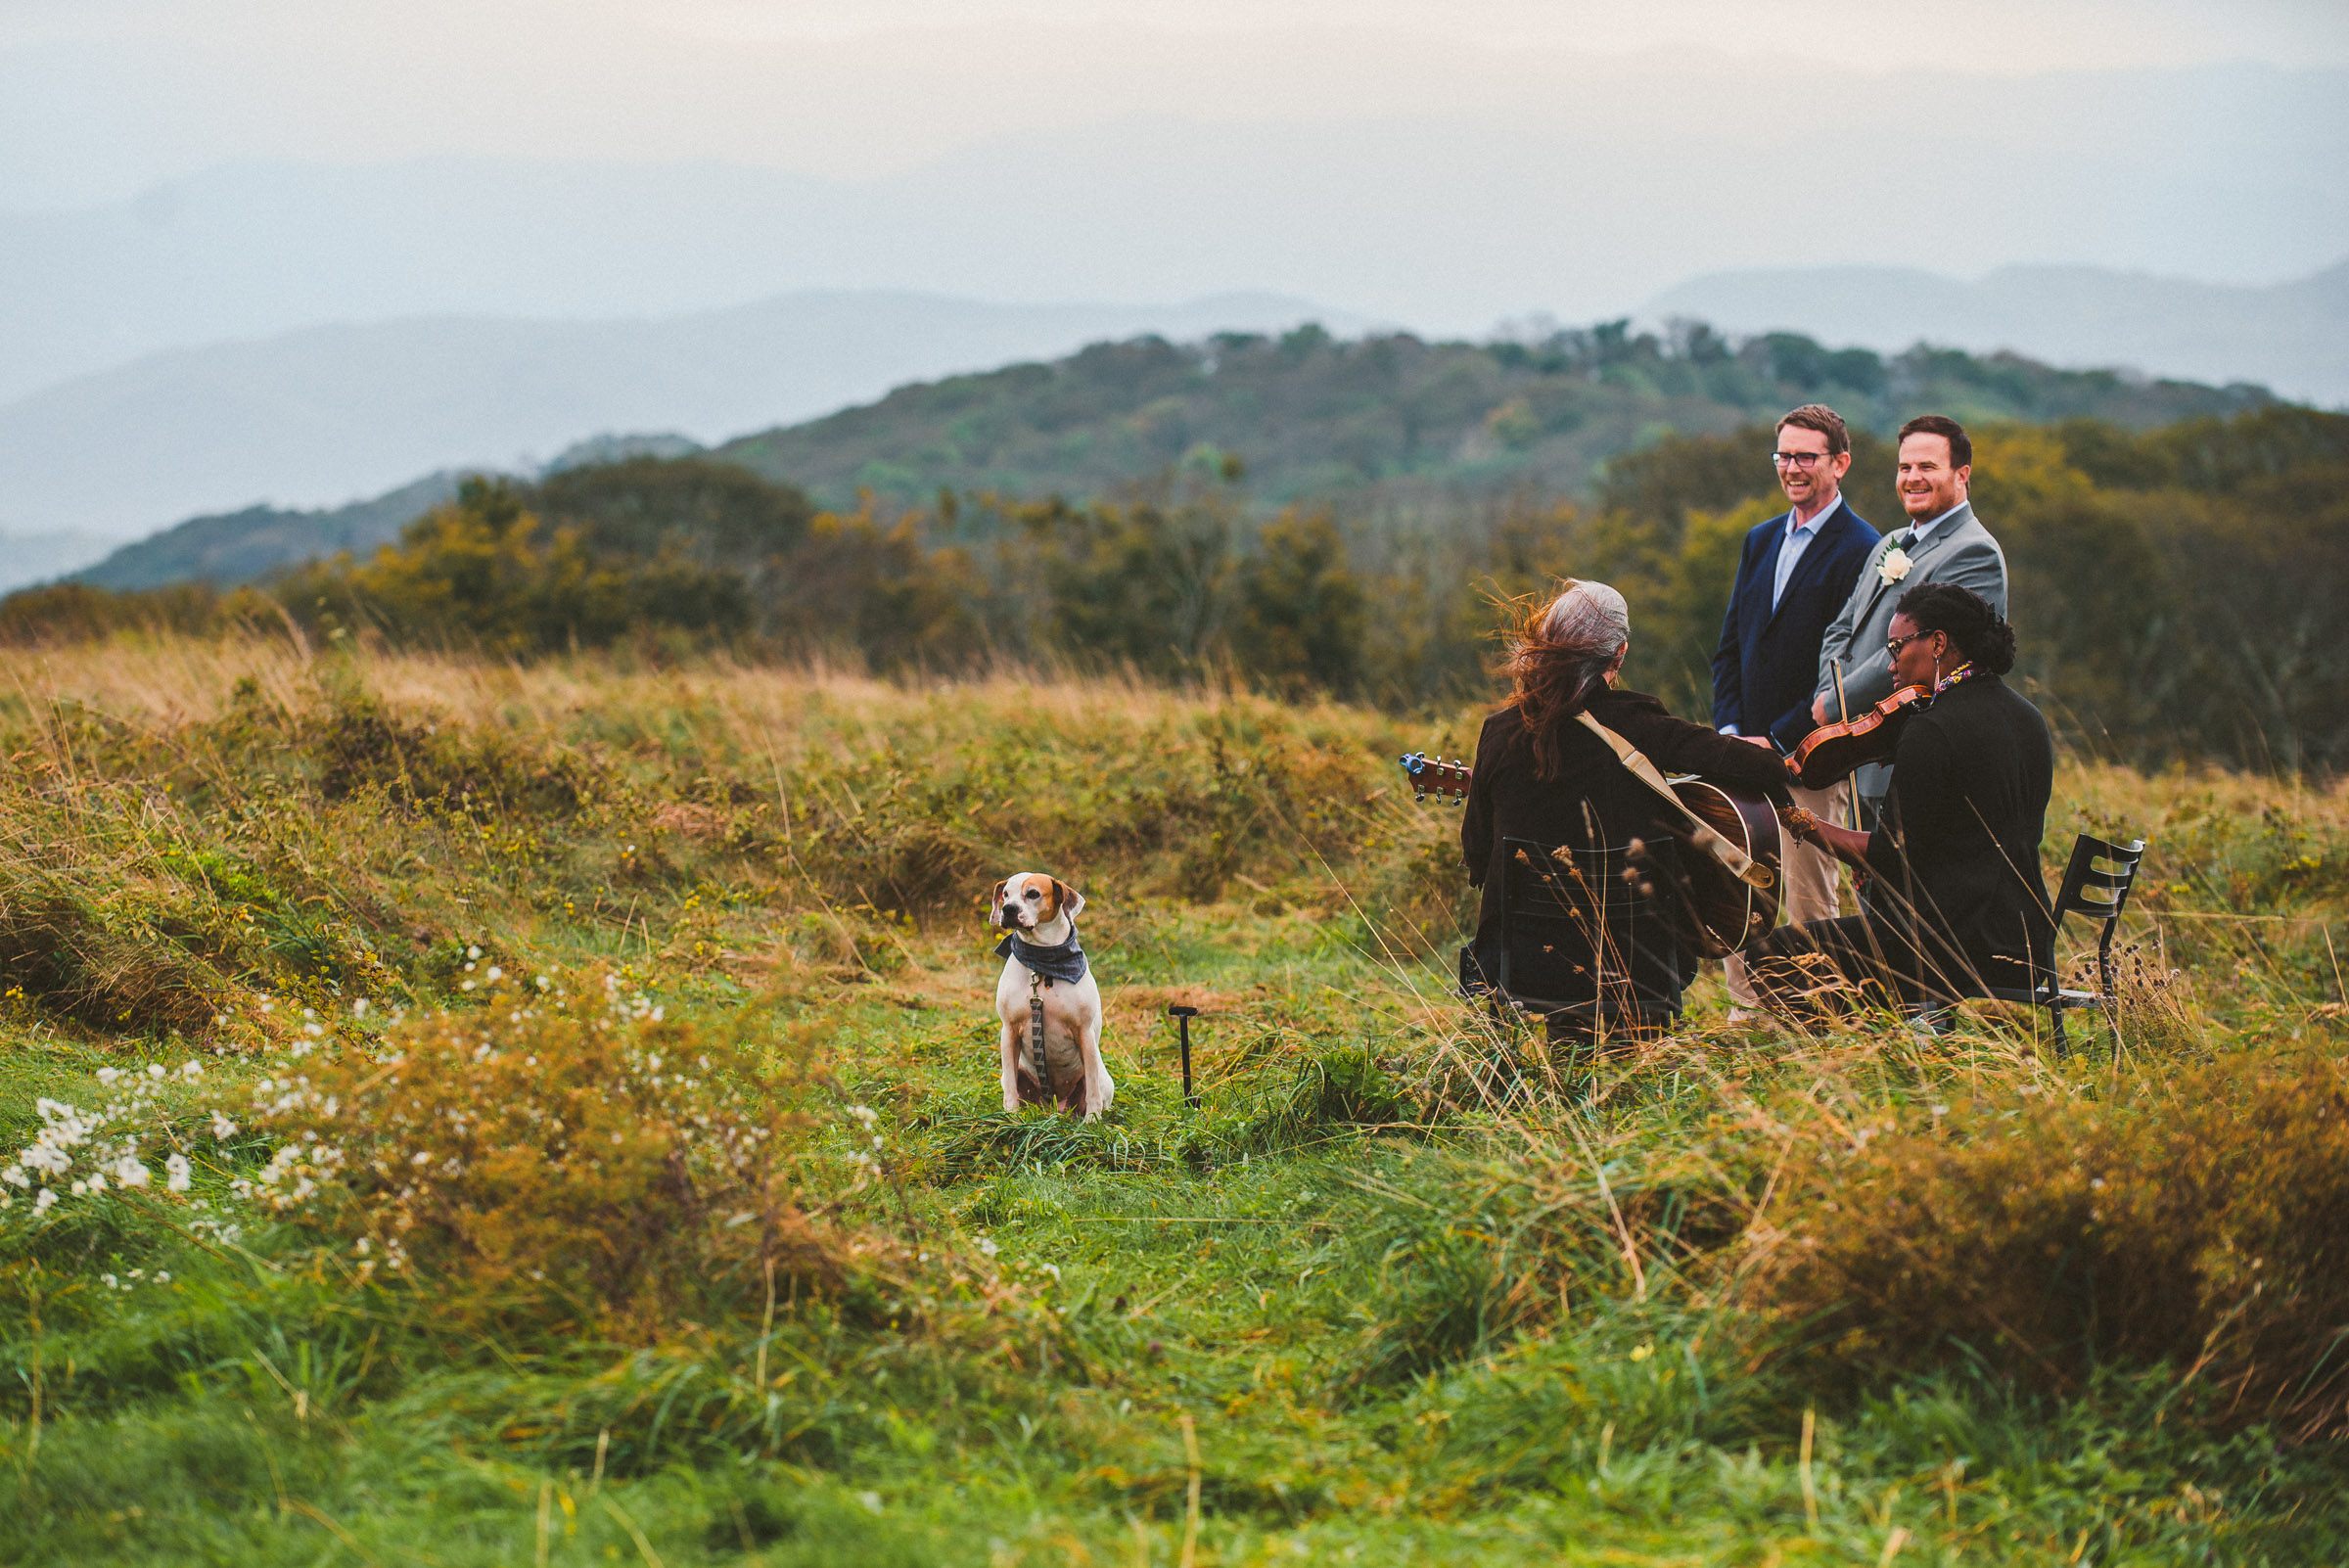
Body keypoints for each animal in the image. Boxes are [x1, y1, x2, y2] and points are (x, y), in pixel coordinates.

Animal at [982, 877, 1108, 1122]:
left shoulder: (1084, 1032)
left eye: (1033, 894)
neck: (1041, 964)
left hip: (1104, 1078)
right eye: (1005, 894)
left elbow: (1092, 1089)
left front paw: (1092, 1121)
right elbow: (1010, 1086)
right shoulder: (1009, 1030)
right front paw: (1012, 1118)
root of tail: (1055, 1106)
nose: (1009, 909)